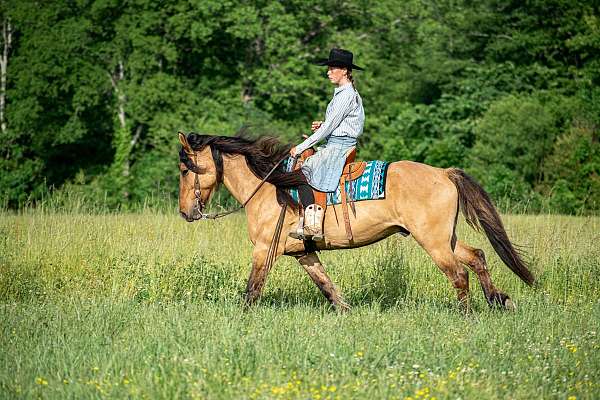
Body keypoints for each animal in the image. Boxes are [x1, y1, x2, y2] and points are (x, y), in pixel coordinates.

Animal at [178, 133, 536, 310]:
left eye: (185, 169)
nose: (186, 213)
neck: (271, 187)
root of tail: (444, 173)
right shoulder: (303, 253)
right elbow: (327, 286)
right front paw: (348, 313)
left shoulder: (265, 249)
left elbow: (252, 290)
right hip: (445, 238)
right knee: (477, 257)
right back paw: (499, 301)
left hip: (433, 242)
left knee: (459, 274)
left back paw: (466, 314)